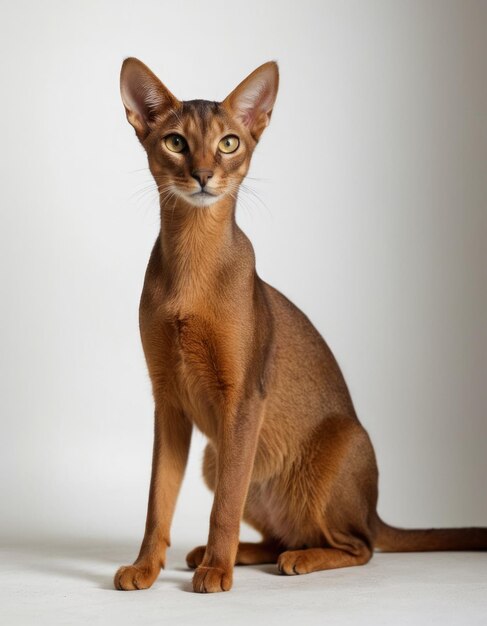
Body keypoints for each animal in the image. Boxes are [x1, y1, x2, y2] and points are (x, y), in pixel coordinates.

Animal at [113, 57, 487, 588]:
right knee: (283, 534)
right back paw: (235, 553)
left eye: (229, 143)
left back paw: (291, 559)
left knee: (359, 546)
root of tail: (374, 510)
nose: (203, 175)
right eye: (176, 142)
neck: (192, 267)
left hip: (334, 449)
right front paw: (146, 567)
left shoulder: (243, 399)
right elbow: (157, 501)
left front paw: (216, 574)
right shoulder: (168, 402)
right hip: (215, 458)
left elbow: (224, 505)